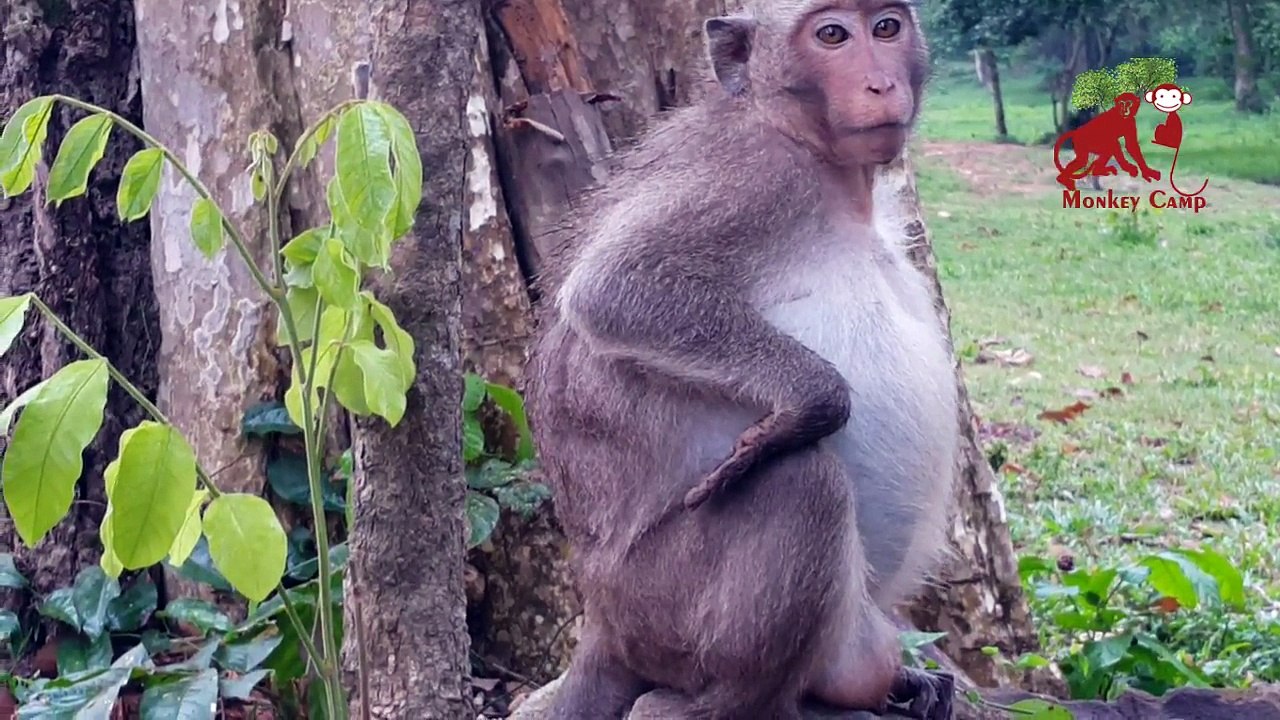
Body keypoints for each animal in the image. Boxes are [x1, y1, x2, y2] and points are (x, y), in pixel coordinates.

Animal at [526, 1, 959, 718]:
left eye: (887, 27)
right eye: (832, 35)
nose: (881, 84)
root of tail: (601, 617)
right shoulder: (756, 178)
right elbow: (615, 290)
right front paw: (810, 405)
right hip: (660, 604)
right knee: (802, 482)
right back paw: (723, 705)